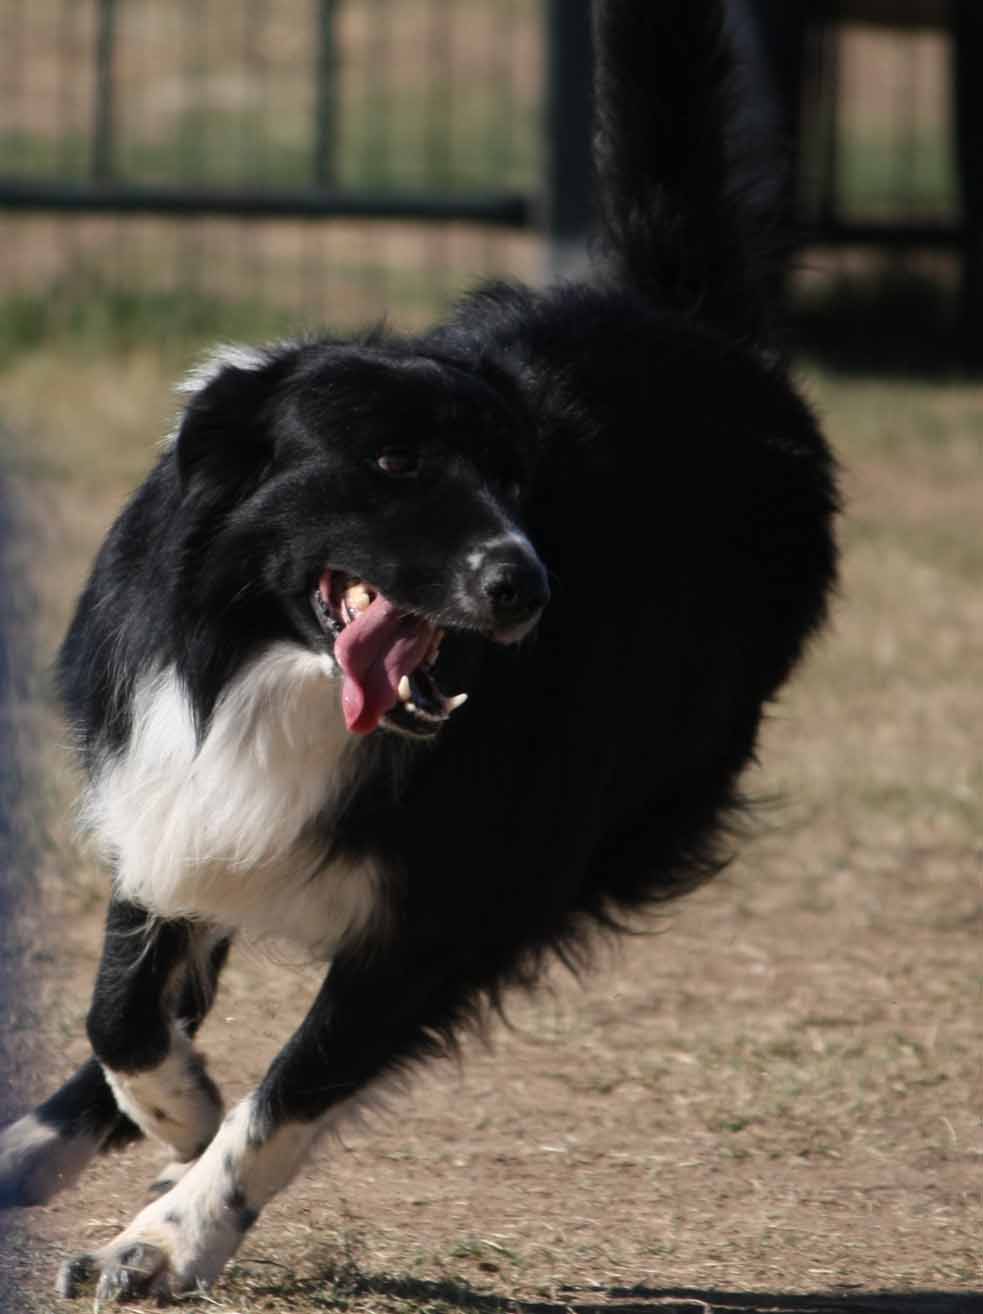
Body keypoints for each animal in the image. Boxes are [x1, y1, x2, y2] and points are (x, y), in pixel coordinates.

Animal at [0, 0, 837, 1301]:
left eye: (514, 480)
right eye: (391, 463)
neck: (271, 672)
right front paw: (174, 1117)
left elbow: (288, 1092)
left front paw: (172, 1232)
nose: (526, 584)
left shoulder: (449, 914)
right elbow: (124, 1014)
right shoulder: (178, 791)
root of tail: (692, 328)